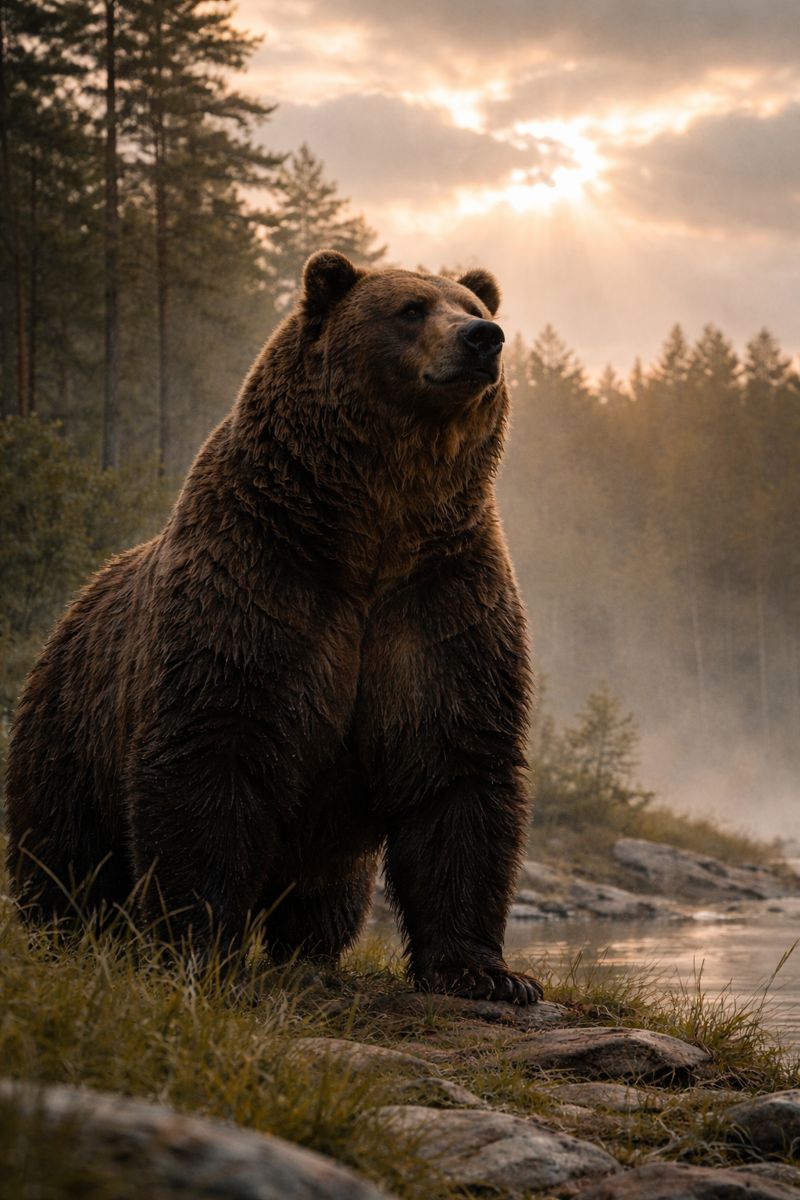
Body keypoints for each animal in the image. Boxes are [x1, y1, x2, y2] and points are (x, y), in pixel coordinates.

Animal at [6, 251, 541, 1005]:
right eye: (410, 309)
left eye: (474, 306)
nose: (481, 339)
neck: (374, 527)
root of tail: (76, 602)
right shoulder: (260, 584)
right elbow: (214, 756)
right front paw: (198, 951)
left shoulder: (441, 600)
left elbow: (457, 765)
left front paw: (488, 973)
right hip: (71, 728)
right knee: (63, 848)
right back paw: (67, 927)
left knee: (329, 893)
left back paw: (308, 951)